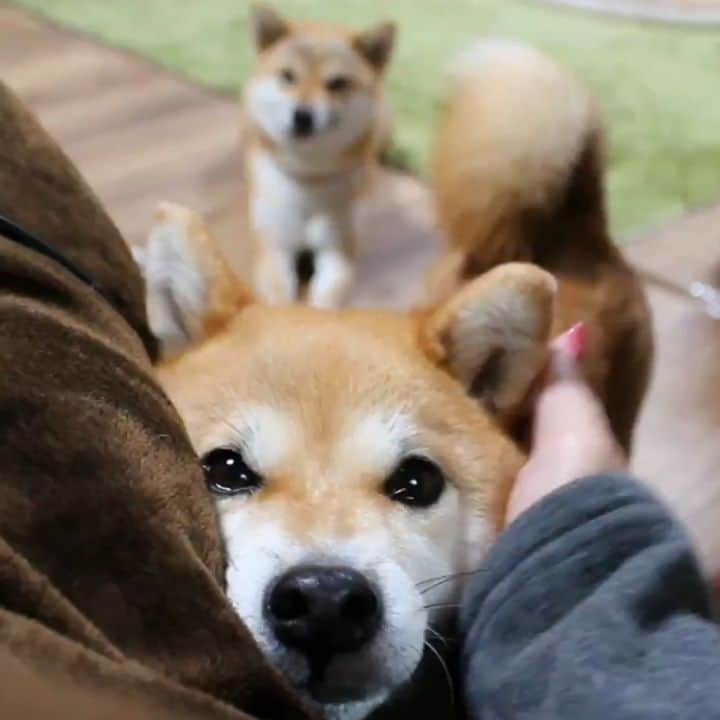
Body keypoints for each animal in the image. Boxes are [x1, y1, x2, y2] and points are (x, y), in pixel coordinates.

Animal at [242, 5, 394, 310]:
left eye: (337, 84)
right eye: (288, 76)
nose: (302, 115)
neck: (308, 178)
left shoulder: (339, 252)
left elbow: (326, 303)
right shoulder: (274, 247)